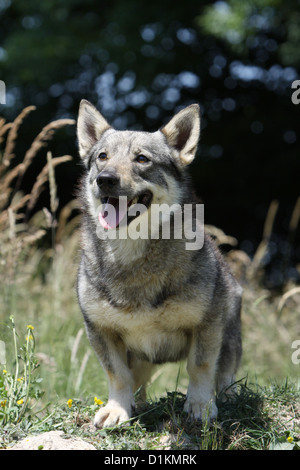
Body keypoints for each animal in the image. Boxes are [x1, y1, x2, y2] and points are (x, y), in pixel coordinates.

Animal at [75, 100, 241, 430]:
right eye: (102, 157)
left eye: (142, 159)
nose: (105, 179)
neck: (131, 256)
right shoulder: (100, 330)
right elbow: (118, 374)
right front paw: (117, 409)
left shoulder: (207, 323)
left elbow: (200, 366)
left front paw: (201, 405)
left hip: (230, 334)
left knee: (225, 375)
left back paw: (227, 397)